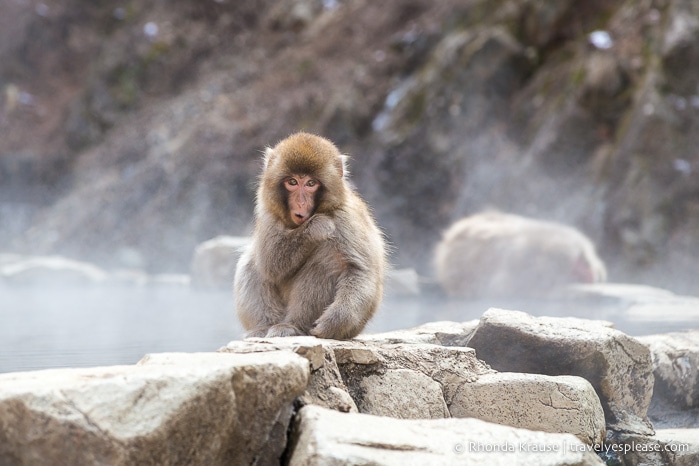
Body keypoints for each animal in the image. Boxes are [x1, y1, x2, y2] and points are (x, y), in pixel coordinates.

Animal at [235, 131, 388, 338]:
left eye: (310, 183)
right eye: (292, 182)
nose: (300, 203)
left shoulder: (346, 218)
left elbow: (360, 270)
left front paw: (334, 322)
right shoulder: (268, 212)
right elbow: (270, 263)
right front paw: (317, 227)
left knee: (326, 265)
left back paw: (293, 326)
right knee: (251, 263)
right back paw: (263, 328)